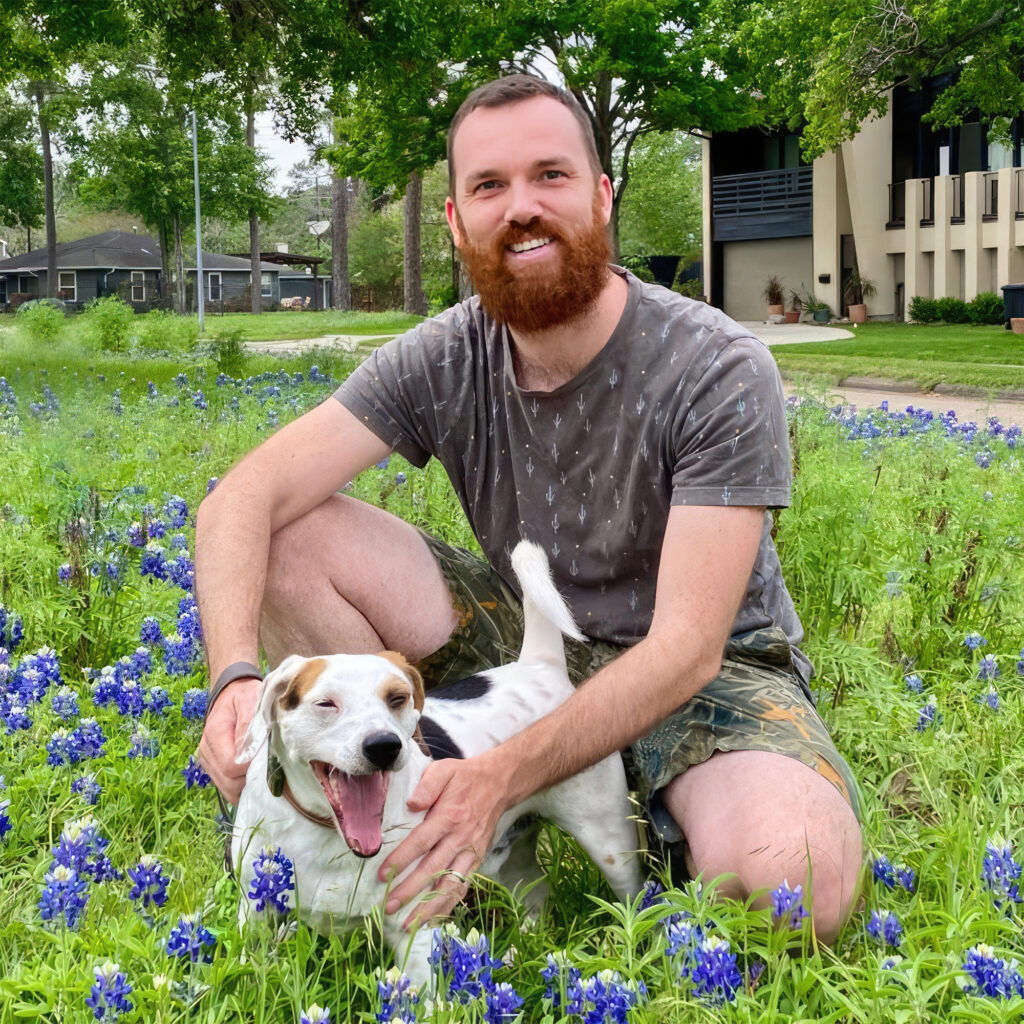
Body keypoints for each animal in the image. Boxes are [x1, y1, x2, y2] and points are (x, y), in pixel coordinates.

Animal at [234, 544, 638, 983]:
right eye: (325, 703)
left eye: (397, 698)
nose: (385, 746)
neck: (327, 835)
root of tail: (539, 663)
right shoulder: (255, 911)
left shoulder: (415, 923)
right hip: (508, 852)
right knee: (536, 889)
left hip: (610, 841)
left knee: (638, 902)